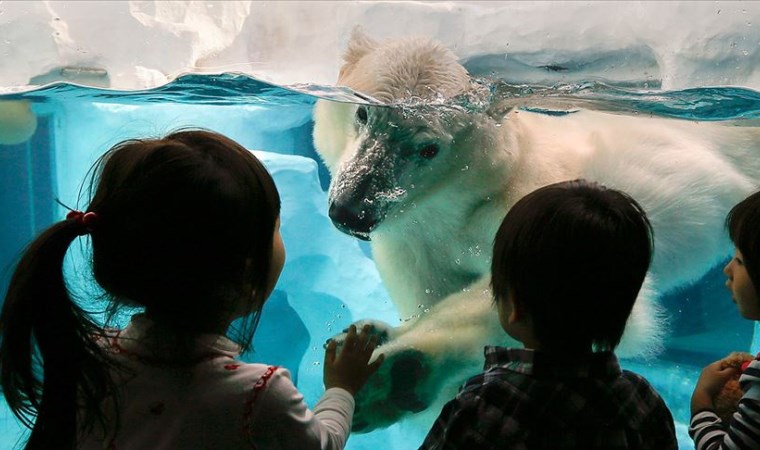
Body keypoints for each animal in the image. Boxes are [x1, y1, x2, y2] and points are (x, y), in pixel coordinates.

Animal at [310, 29, 760, 432]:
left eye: (429, 148)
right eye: (363, 112)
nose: (352, 212)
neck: (455, 204)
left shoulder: (527, 204)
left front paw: (392, 376)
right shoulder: (412, 244)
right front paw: (378, 335)